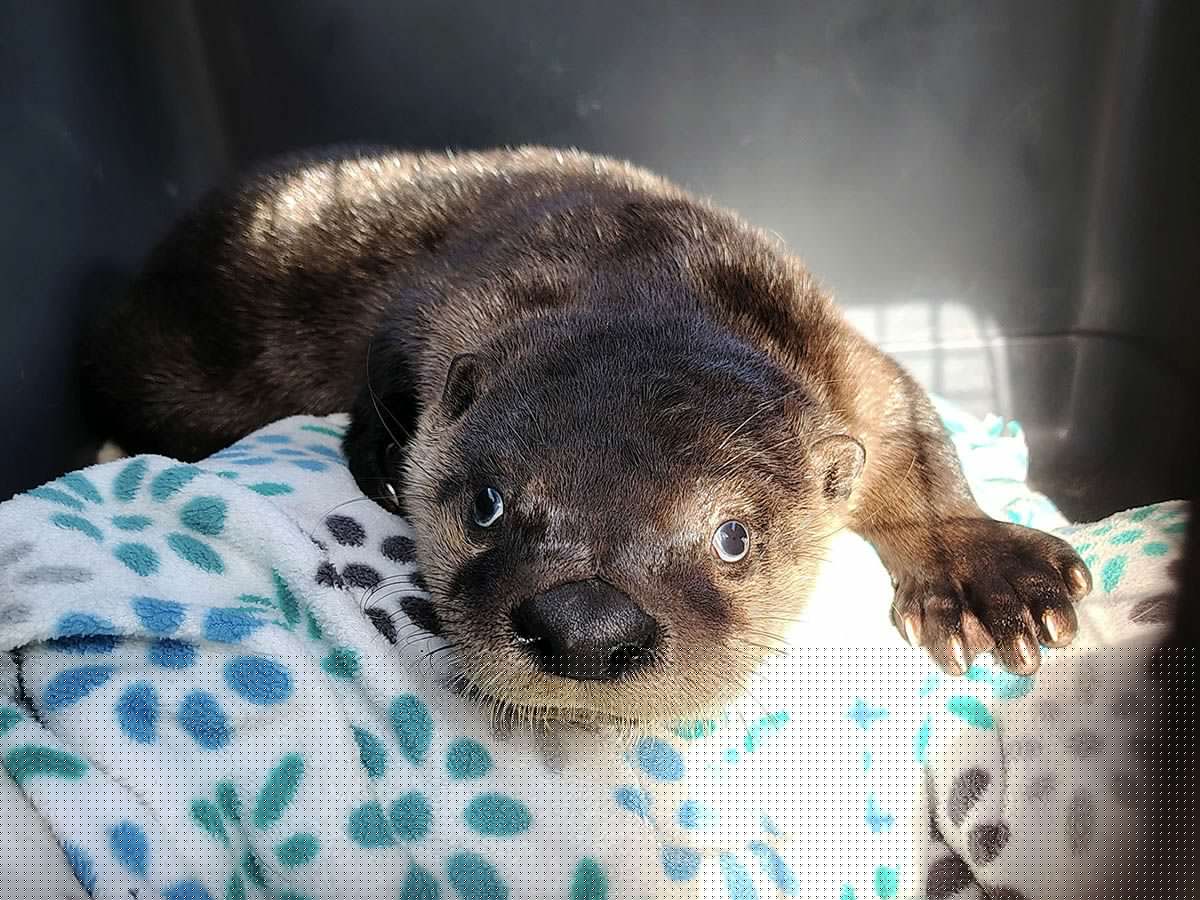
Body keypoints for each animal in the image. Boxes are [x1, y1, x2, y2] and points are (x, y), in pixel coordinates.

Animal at [82, 146, 1091, 722]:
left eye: (734, 537)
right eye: (486, 504)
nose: (586, 627)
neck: (639, 262)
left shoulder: (847, 363)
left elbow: (918, 442)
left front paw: (994, 577)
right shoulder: (425, 302)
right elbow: (382, 376)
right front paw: (382, 460)